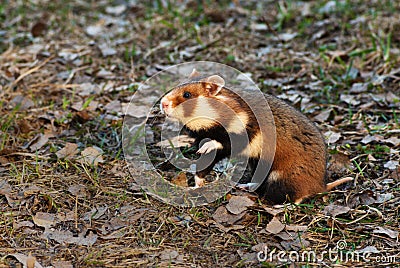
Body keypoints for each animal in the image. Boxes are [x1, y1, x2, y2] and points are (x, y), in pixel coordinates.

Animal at [160, 69, 354, 203]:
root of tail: (322, 185)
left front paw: (205, 146)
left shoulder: (239, 135)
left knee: (297, 197)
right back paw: (244, 186)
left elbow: (219, 145)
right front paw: (193, 187)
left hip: (280, 176)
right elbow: (202, 169)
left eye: (187, 95)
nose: (162, 104)